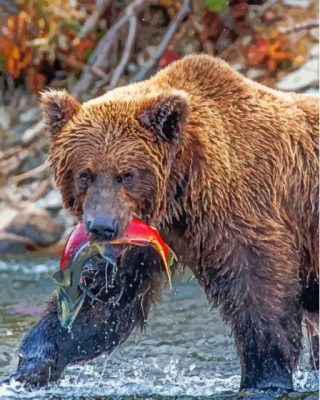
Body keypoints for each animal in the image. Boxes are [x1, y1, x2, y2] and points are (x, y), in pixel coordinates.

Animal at [11, 54, 318, 390]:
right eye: (84, 174)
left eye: (125, 174)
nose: (101, 226)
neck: (182, 191)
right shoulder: (143, 236)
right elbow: (106, 301)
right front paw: (33, 362)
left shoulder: (245, 209)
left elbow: (258, 287)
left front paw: (264, 378)